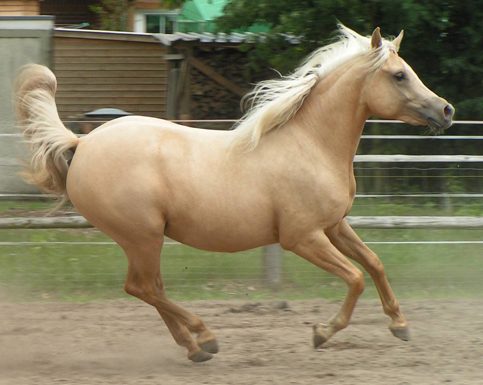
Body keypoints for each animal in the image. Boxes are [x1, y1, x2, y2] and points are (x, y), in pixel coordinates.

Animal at [14, 25, 454, 362]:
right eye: (399, 75)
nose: (446, 110)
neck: (310, 143)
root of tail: (82, 143)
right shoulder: (302, 237)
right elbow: (356, 278)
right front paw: (322, 333)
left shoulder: (334, 226)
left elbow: (375, 264)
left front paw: (400, 325)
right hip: (142, 236)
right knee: (142, 288)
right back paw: (206, 338)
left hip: (143, 240)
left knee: (150, 288)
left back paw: (195, 348)